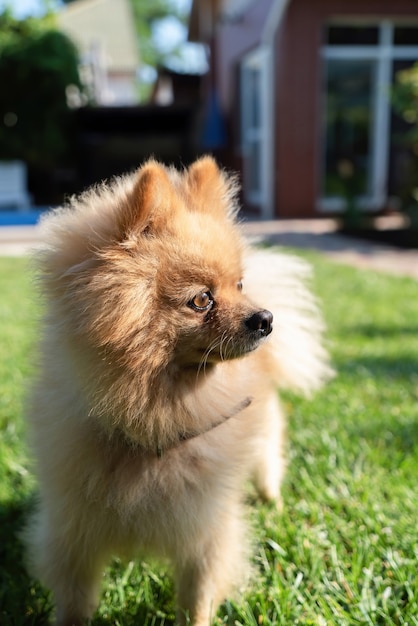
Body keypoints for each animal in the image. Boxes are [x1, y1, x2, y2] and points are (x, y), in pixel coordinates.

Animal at [23, 156, 330, 624]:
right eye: (202, 300)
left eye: (239, 285)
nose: (265, 318)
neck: (154, 421)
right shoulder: (72, 532)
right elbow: (74, 599)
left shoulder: (205, 531)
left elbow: (196, 599)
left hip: (264, 443)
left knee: (267, 469)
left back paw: (274, 503)